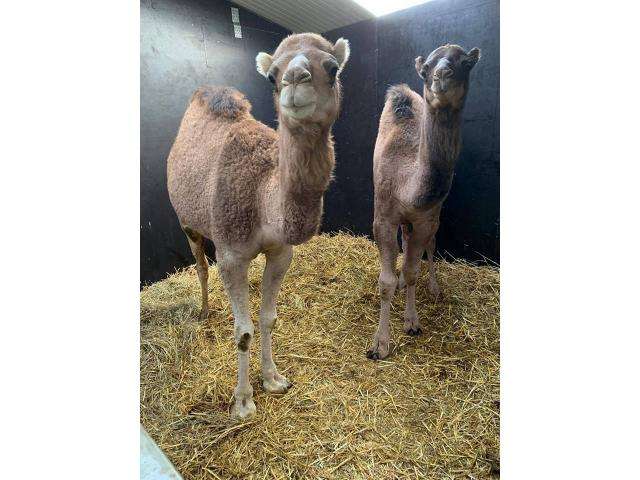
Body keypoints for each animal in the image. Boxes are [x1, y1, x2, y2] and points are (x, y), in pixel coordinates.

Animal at [167, 33, 350, 418]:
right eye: (272, 76)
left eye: (332, 68)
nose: (294, 79)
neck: (264, 196)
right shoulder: (232, 255)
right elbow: (243, 332)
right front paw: (243, 402)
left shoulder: (281, 251)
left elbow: (267, 318)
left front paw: (274, 379)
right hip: (187, 222)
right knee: (201, 266)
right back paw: (204, 310)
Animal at [366, 44, 480, 360]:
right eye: (426, 68)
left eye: (466, 63)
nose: (442, 75)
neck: (407, 183)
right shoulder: (383, 217)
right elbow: (385, 281)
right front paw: (380, 345)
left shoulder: (427, 218)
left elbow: (414, 270)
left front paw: (412, 321)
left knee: (428, 245)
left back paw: (434, 287)